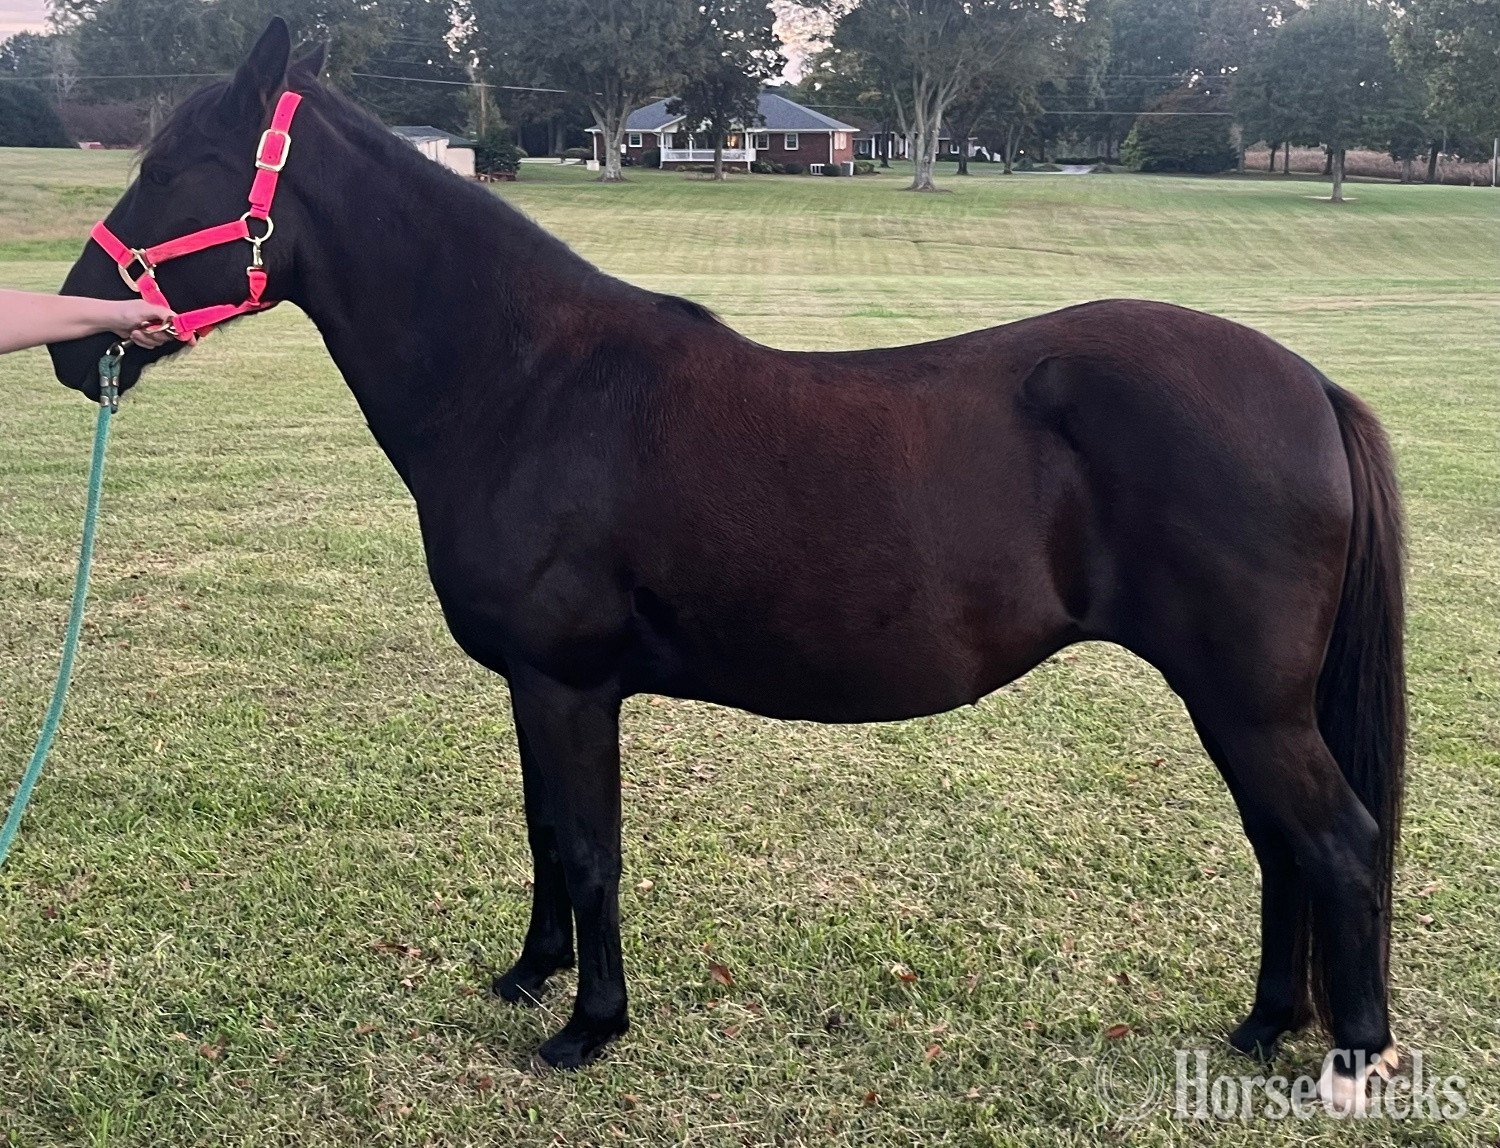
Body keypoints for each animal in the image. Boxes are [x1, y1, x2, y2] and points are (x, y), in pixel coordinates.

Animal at [47, 20, 1405, 1105]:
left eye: (173, 167)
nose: (71, 340)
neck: (529, 384)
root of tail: (1307, 383)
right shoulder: (536, 689)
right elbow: (545, 830)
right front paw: (531, 972)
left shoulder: (570, 684)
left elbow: (589, 845)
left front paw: (588, 1025)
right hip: (1239, 702)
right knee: (1281, 844)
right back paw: (1264, 1023)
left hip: (1248, 699)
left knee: (1336, 839)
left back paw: (1349, 1057)